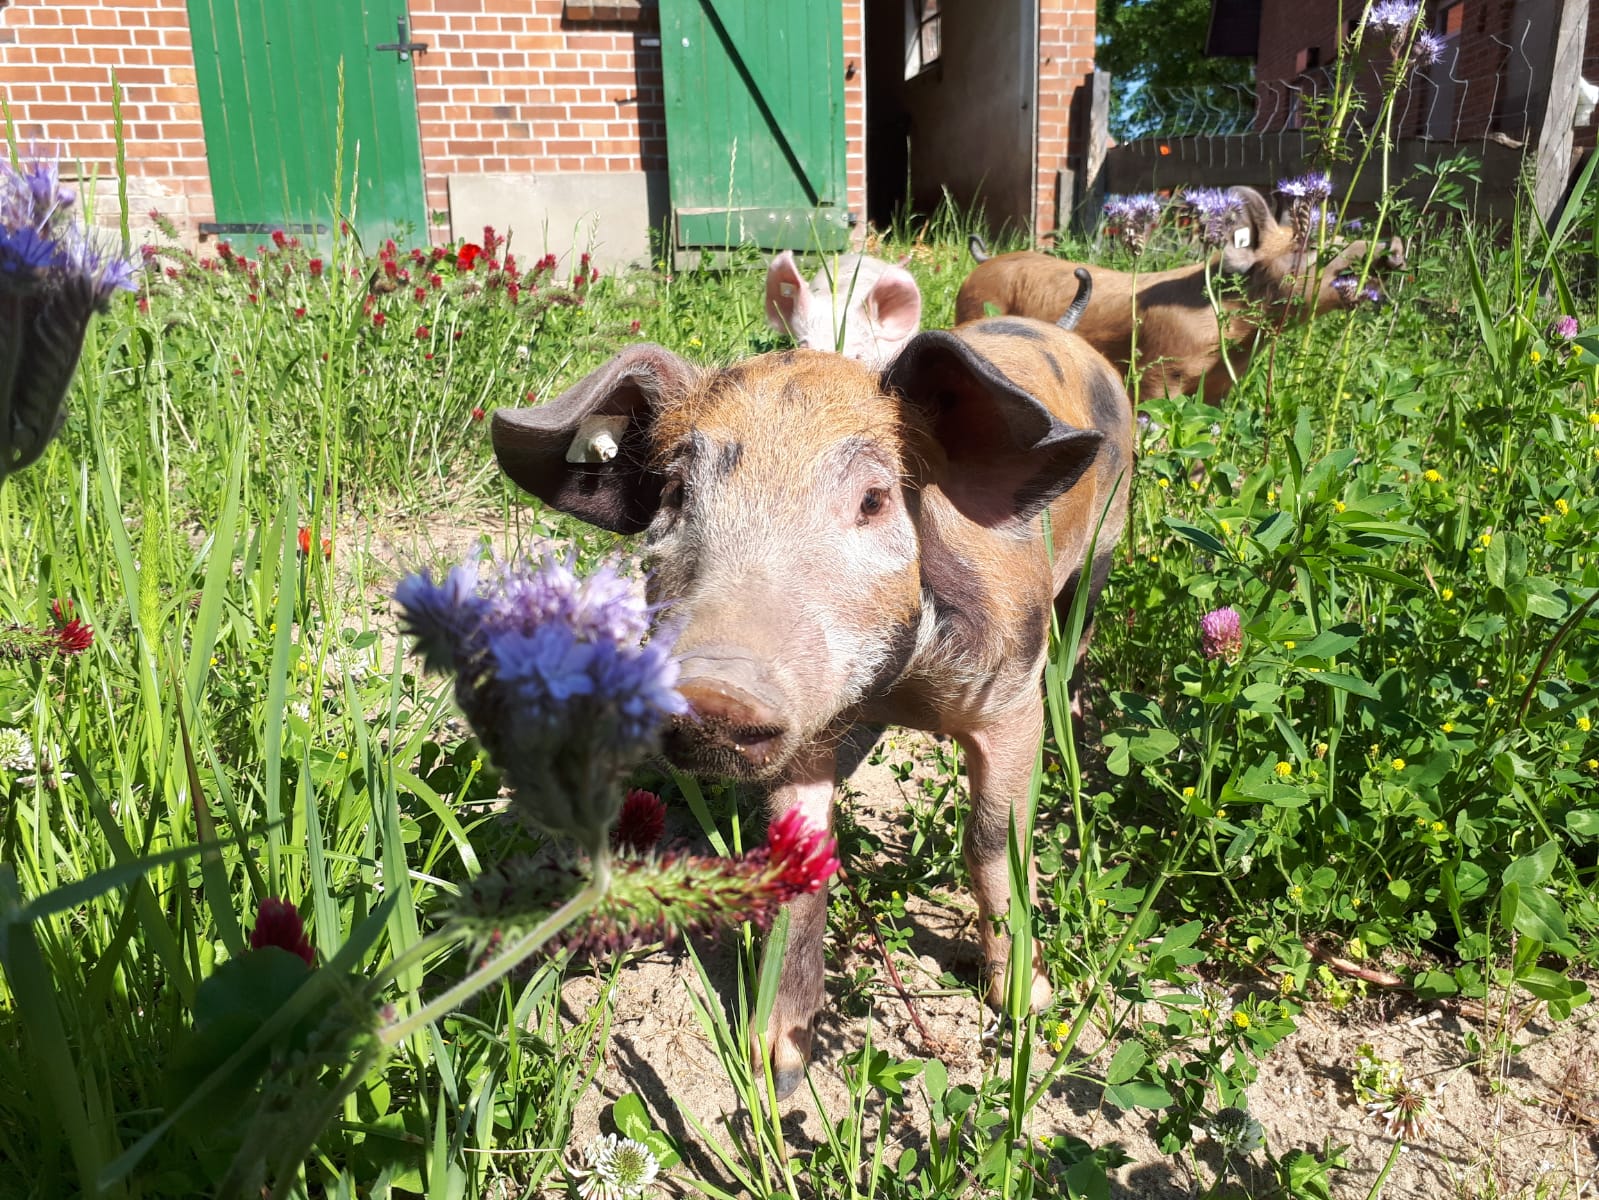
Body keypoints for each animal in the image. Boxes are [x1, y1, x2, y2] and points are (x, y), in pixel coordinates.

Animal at [492, 315, 1132, 1107]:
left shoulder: (1009, 698)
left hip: (1105, 545)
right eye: (674, 493)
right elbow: (801, 860)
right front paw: (776, 1069)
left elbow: (991, 842)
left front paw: (1023, 1004)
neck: (896, 691)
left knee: (1082, 627)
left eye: (874, 501)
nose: (716, 689)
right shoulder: (803, 745)